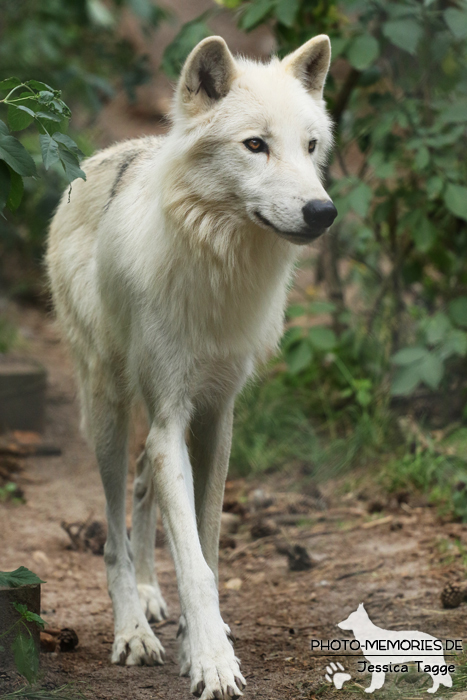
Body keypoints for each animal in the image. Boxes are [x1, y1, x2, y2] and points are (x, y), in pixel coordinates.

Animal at [46, 34, 336, 700]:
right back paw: (133, 629)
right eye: (255, 145)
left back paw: (153, 597)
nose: (322, 211)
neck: (218, 262)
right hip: (108, 408)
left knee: (142, 485)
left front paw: (198, 641)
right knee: (113, 533)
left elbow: (205, 546)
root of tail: (108, 154)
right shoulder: (173, 418)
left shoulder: (214, 418)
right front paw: (211, 662)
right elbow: (196, 565)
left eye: (311, 147)